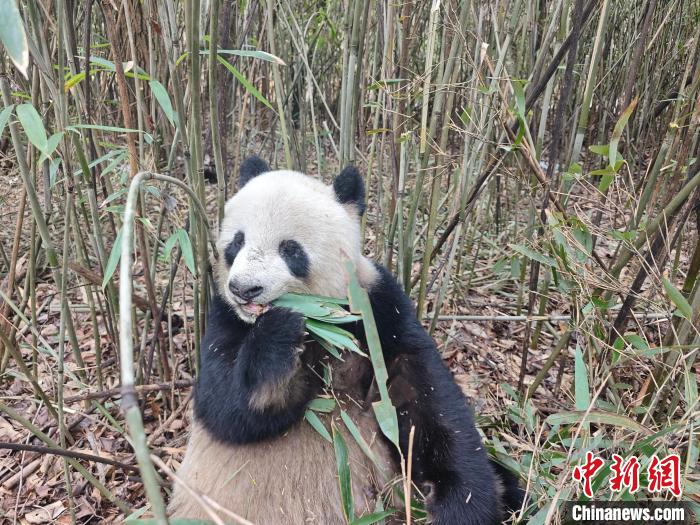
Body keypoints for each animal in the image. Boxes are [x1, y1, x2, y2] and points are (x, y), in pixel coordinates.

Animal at [168, 157, 520, 524]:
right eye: (237, 242)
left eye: (290, 250)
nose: (244, 288)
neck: (319, 320)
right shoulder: (224, 316)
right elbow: (223, 406)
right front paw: (278, 333)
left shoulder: (375, 309)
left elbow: (425, 401)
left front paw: (463, 506)